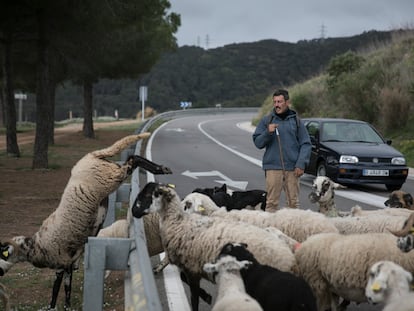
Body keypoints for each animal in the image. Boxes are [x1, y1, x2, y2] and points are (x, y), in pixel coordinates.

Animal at [0, 133, 173, 310]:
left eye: (2, 251)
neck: (35, 245)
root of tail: (91, 156)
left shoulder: (60, 263)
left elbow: (56, 288)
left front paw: (53, 306)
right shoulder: (69, 263)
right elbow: (67, 286)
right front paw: (67, 305)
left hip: (111, 176)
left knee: (133, 159)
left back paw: (160, 170)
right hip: (111, 172)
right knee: (132, 158)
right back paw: (161, 169)